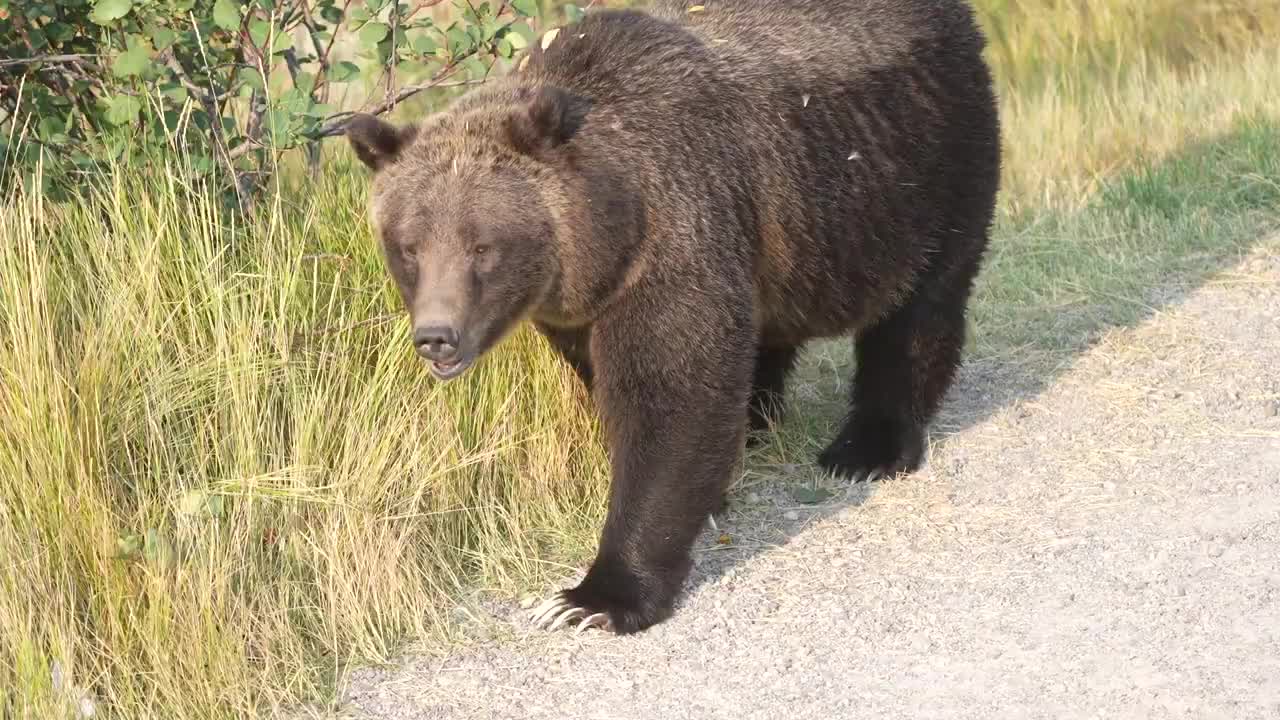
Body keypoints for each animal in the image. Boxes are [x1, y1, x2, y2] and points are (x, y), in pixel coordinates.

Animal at [348, 0, 998, 630]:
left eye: (482, 246)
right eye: (408, 247)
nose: (437, 337)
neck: (612, 224)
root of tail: (958, 15)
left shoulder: (676, 234)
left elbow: (671, 396)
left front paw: (592, 599)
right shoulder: (587, 304)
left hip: (922, 169)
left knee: (917, 312)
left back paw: (867, 449)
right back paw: (757, 422)